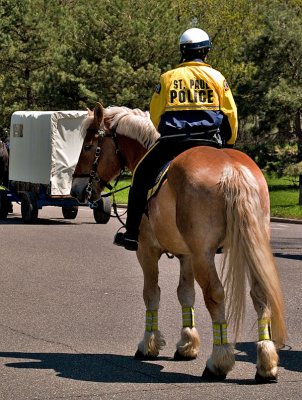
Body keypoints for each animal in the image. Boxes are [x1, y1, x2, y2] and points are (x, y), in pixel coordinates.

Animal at [71, 102, 288, 382]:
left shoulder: (147, 251)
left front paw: (148, 344)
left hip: (204, 255)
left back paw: (218, 360)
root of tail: (232, 170)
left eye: (88, 147)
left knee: (215, 294)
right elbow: (185, 294)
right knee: (260, 294)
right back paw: (266, 363)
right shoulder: (186, 255)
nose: (76, 190)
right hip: (249, 246)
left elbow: (151, 294)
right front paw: (187, 344)